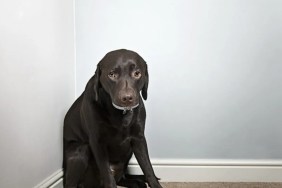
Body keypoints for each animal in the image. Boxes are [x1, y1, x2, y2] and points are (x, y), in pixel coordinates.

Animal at [62, 49, 162, 187]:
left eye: (137, 73)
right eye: (112, 74)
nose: (127, 98)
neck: (121, 114)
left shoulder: (139, 139)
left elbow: (148, 168)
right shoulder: (97, 142)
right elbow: (108, 176)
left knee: (121, 178)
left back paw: (136, 183)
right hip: (80, 150)